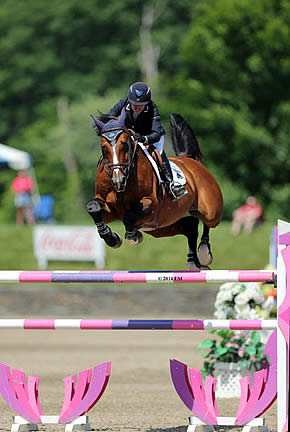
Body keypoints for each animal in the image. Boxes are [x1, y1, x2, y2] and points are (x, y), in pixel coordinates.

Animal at [86, 109, 222, 270]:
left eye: (125, 144)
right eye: (103, 147)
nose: (118, 180)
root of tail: (191, 160)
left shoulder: (151, 204)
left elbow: (129, 216)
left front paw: (133, 236)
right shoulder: (110, 209)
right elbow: (93, 208)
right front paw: (112, 238)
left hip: (210, 211)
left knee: (206, 222)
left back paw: (204, 253)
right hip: (160, 226)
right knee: (190, 225)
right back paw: (193, 263)